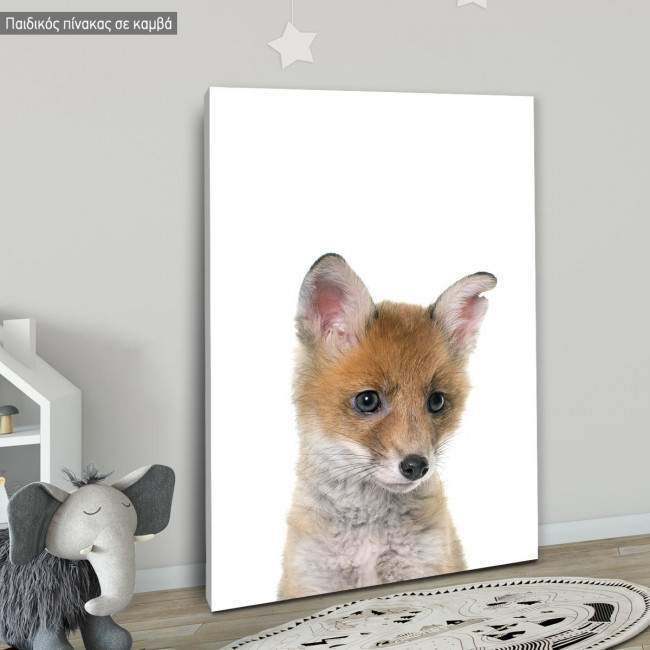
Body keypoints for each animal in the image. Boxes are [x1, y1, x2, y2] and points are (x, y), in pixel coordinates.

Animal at [278, 253, 496, 600]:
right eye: (367, 401)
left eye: (436, 401)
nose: (416, 466)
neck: (368, 542)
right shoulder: (310, 580)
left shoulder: (425, 565)